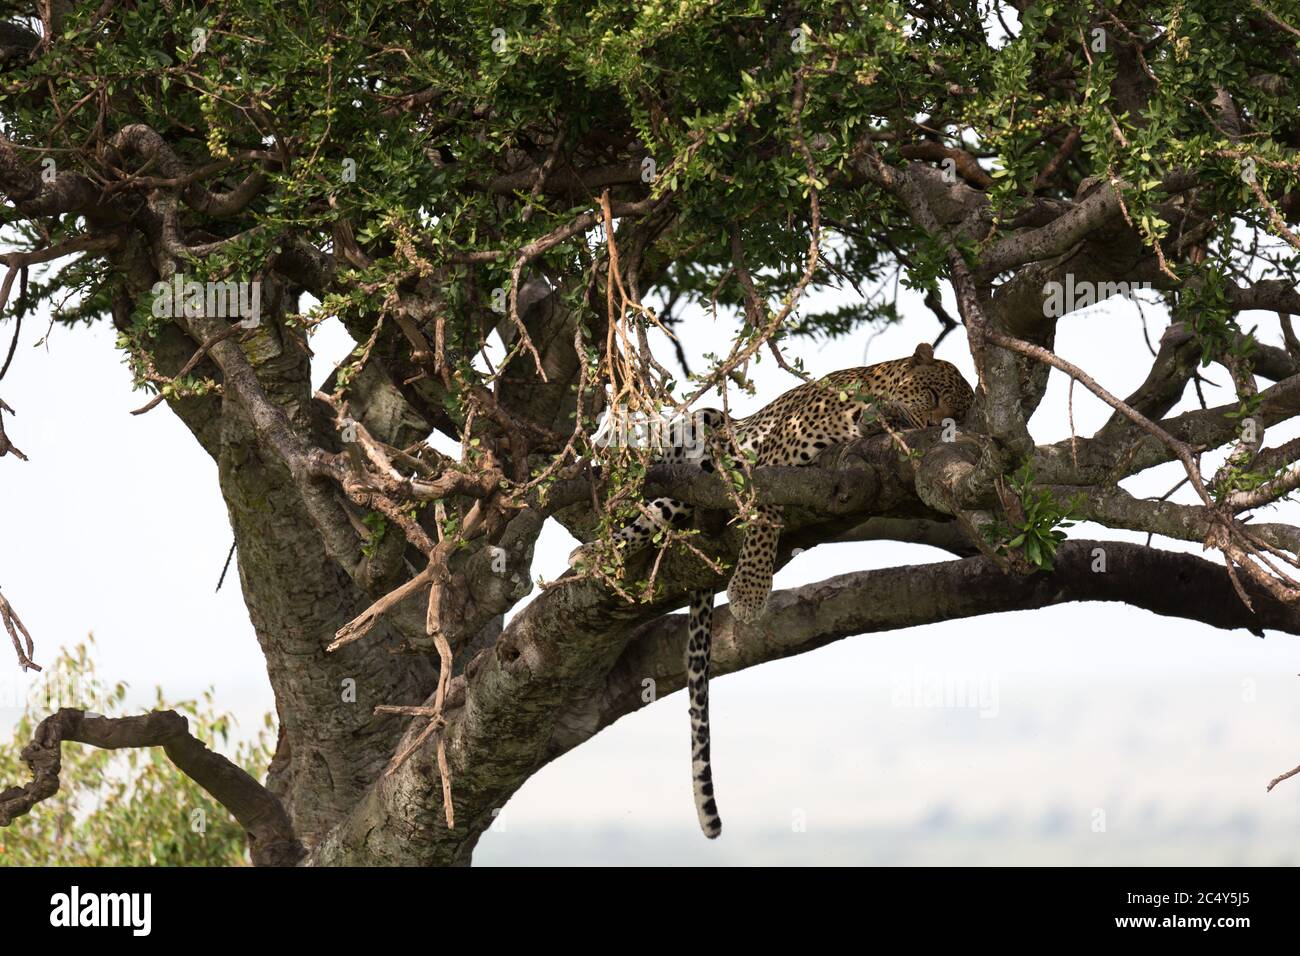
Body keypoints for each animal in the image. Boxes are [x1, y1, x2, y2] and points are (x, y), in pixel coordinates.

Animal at [569, 343, 975, 838]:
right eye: (933, 395)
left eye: (958, 415)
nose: (936, 428)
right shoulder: (773, 461)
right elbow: (764, 518)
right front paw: (749, 591)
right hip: (706, 422)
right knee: (664, 484)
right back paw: (601, 529)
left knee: (666, 508)